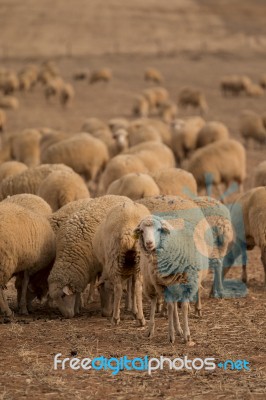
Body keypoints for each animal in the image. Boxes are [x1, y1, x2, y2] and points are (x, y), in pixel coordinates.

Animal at [134, 212, 211, 344]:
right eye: (142, 231)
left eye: (159, 229)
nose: (149, 243)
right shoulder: (163, 286)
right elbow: (170, 307)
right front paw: (171, 335)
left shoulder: (188, 285)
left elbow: (184, 307)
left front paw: (186, 335)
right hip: (151, 283)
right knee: (154, 301)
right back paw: (151, 329)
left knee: (175, 305)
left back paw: (179, 329)